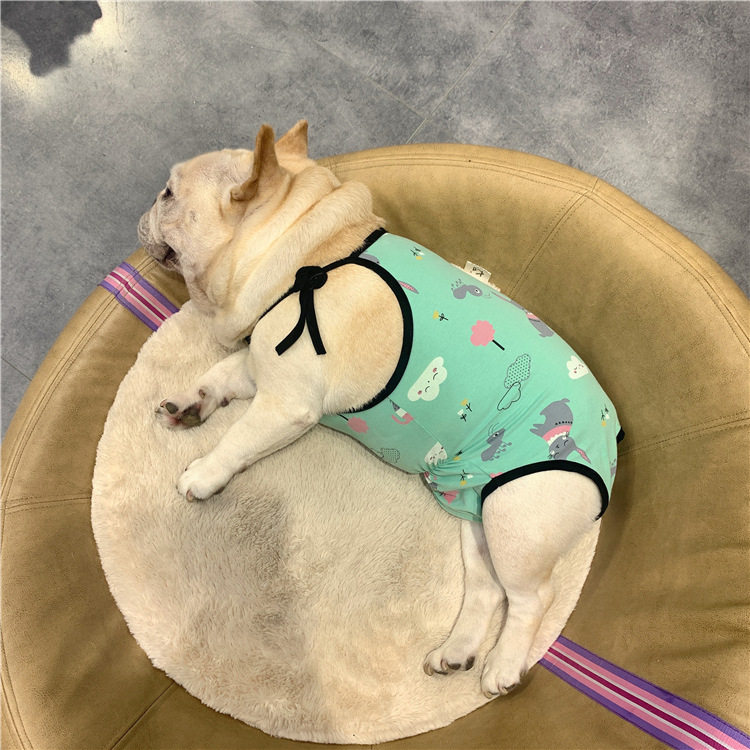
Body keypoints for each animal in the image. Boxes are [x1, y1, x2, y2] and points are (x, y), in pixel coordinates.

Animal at [138, 121, 622, 698]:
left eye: (169, 194)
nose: (146, 206)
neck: (305, 253)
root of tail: (612, 439)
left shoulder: (285, 404)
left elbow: (235, 442)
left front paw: (203, 473)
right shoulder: (262, 369)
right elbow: (219, 376)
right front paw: (192, 402)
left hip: (518, 521)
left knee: (532, 597)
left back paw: (503, 665)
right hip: (475, 512)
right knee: (489, 590)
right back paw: (456, 652)